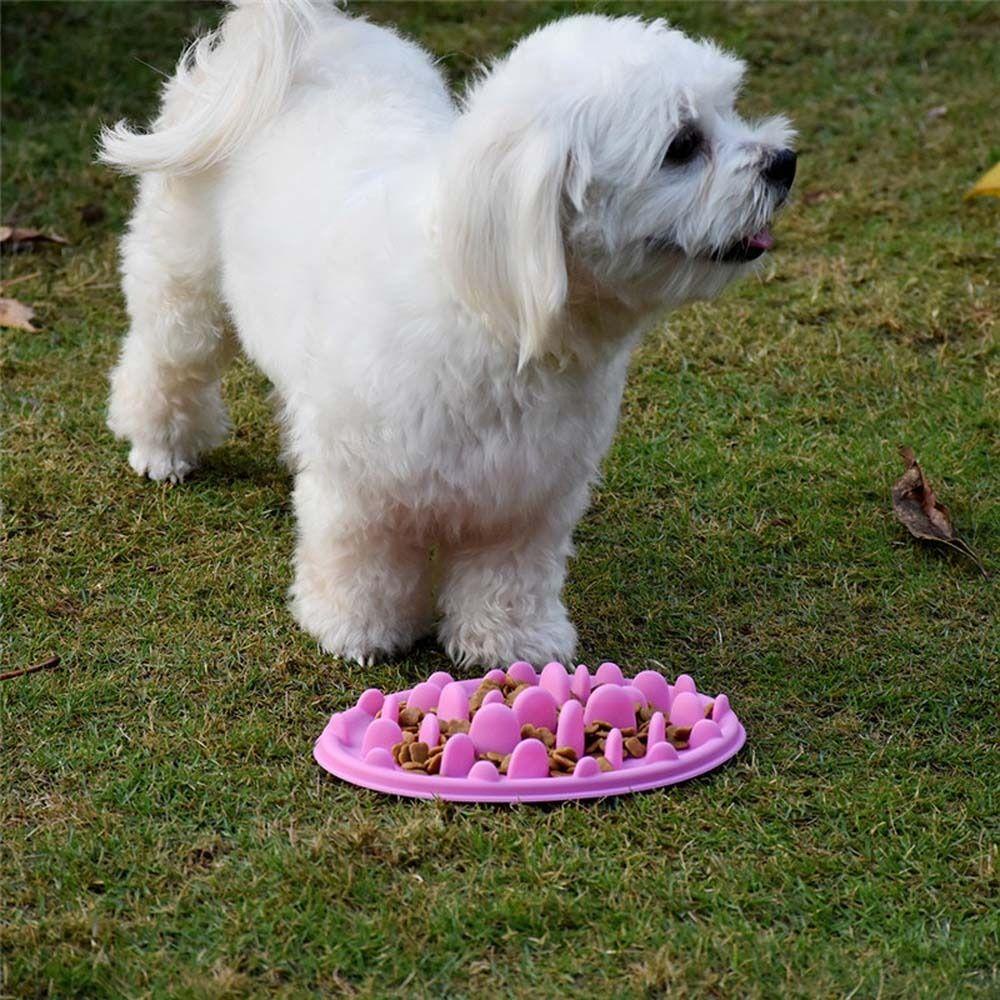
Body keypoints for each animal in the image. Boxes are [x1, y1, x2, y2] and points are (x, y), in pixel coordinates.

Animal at [97, 3, 792, 668]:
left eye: (729, 110)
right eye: (682, 145)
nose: (784, 163)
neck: (488, 309)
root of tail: (310, 32)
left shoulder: (527, 495)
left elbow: (507, 577)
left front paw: (511, 642)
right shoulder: (364, 489)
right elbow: (364, 563)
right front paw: (356, 629)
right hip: (183, 288)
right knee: (165, 364)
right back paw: (161, 447)